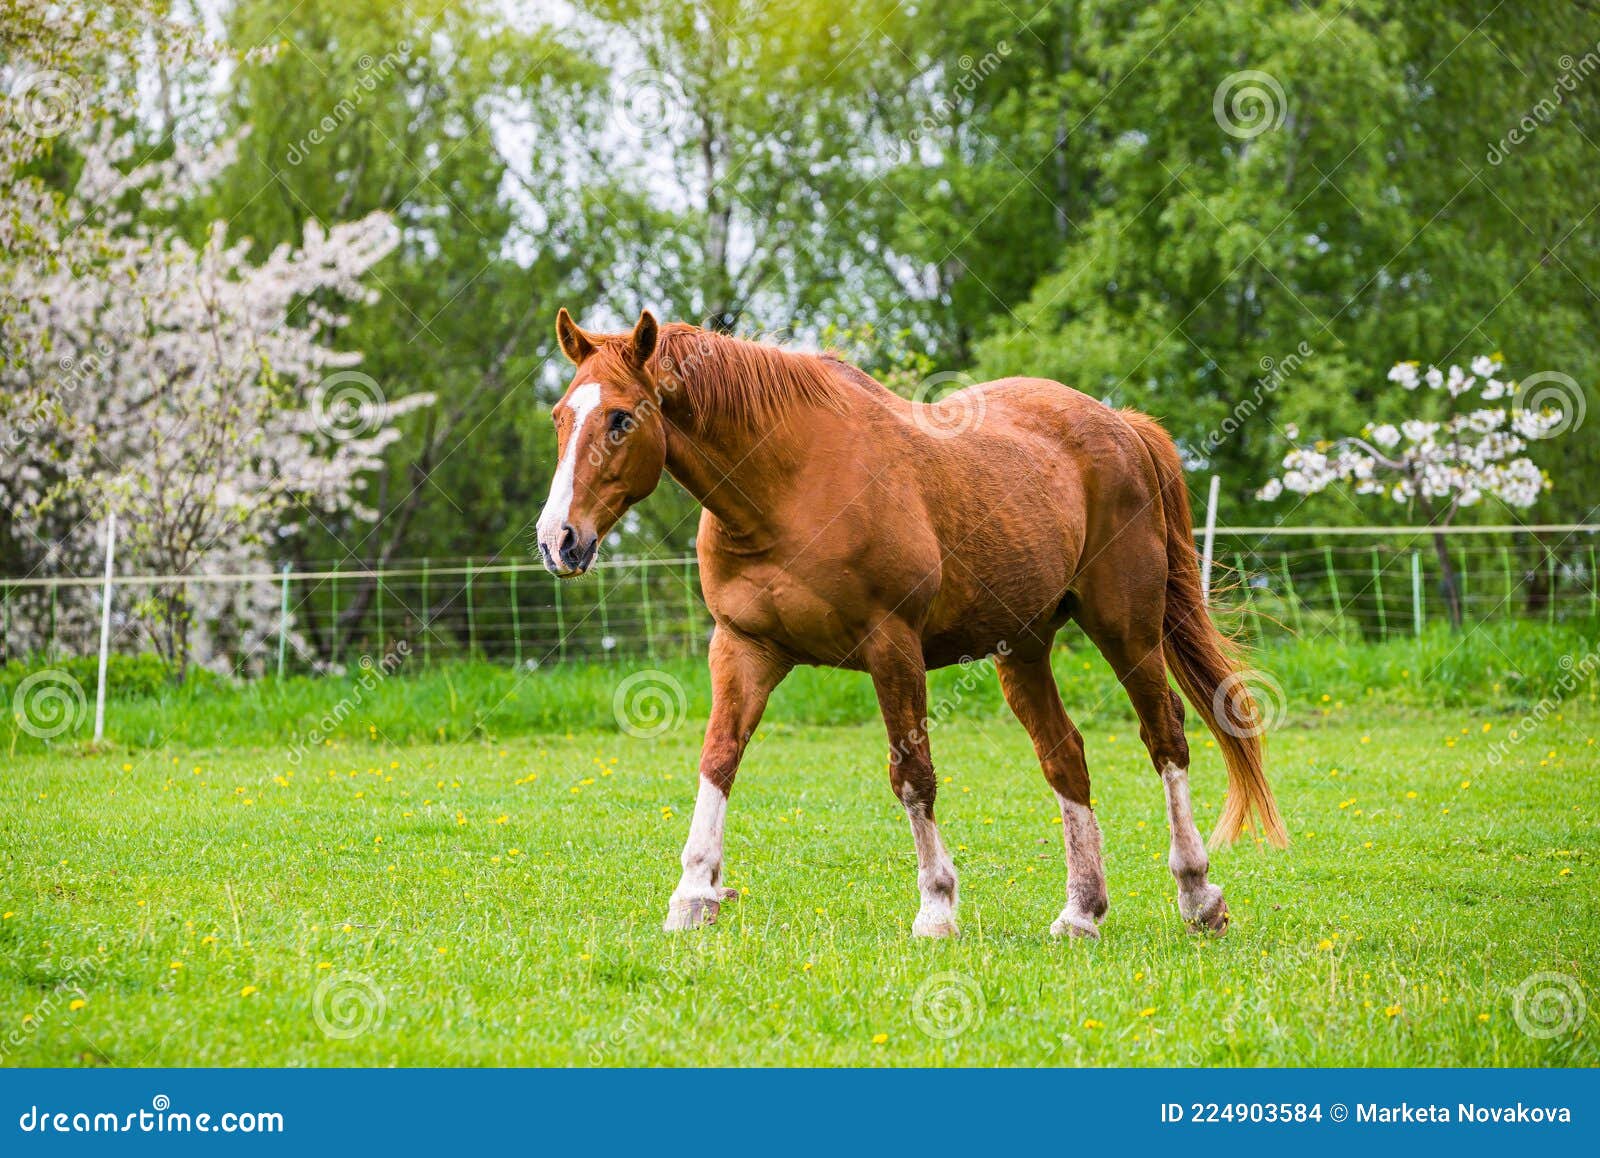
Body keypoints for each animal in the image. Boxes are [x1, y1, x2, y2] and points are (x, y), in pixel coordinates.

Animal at [537, 310, 1286, 940]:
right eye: (559, 416)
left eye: (621, 420)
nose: (557, 540)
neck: (787, 486)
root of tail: (1122, 425)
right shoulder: (744, 648)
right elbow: (719, 759)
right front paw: (693, 895)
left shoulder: (891, 647)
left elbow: (912, 774)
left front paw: (937, 905)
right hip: (1023, 647)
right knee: (1065, 755)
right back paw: (1081, 910)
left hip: (1126, 628)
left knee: (1165, 738)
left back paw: (1197, 894)